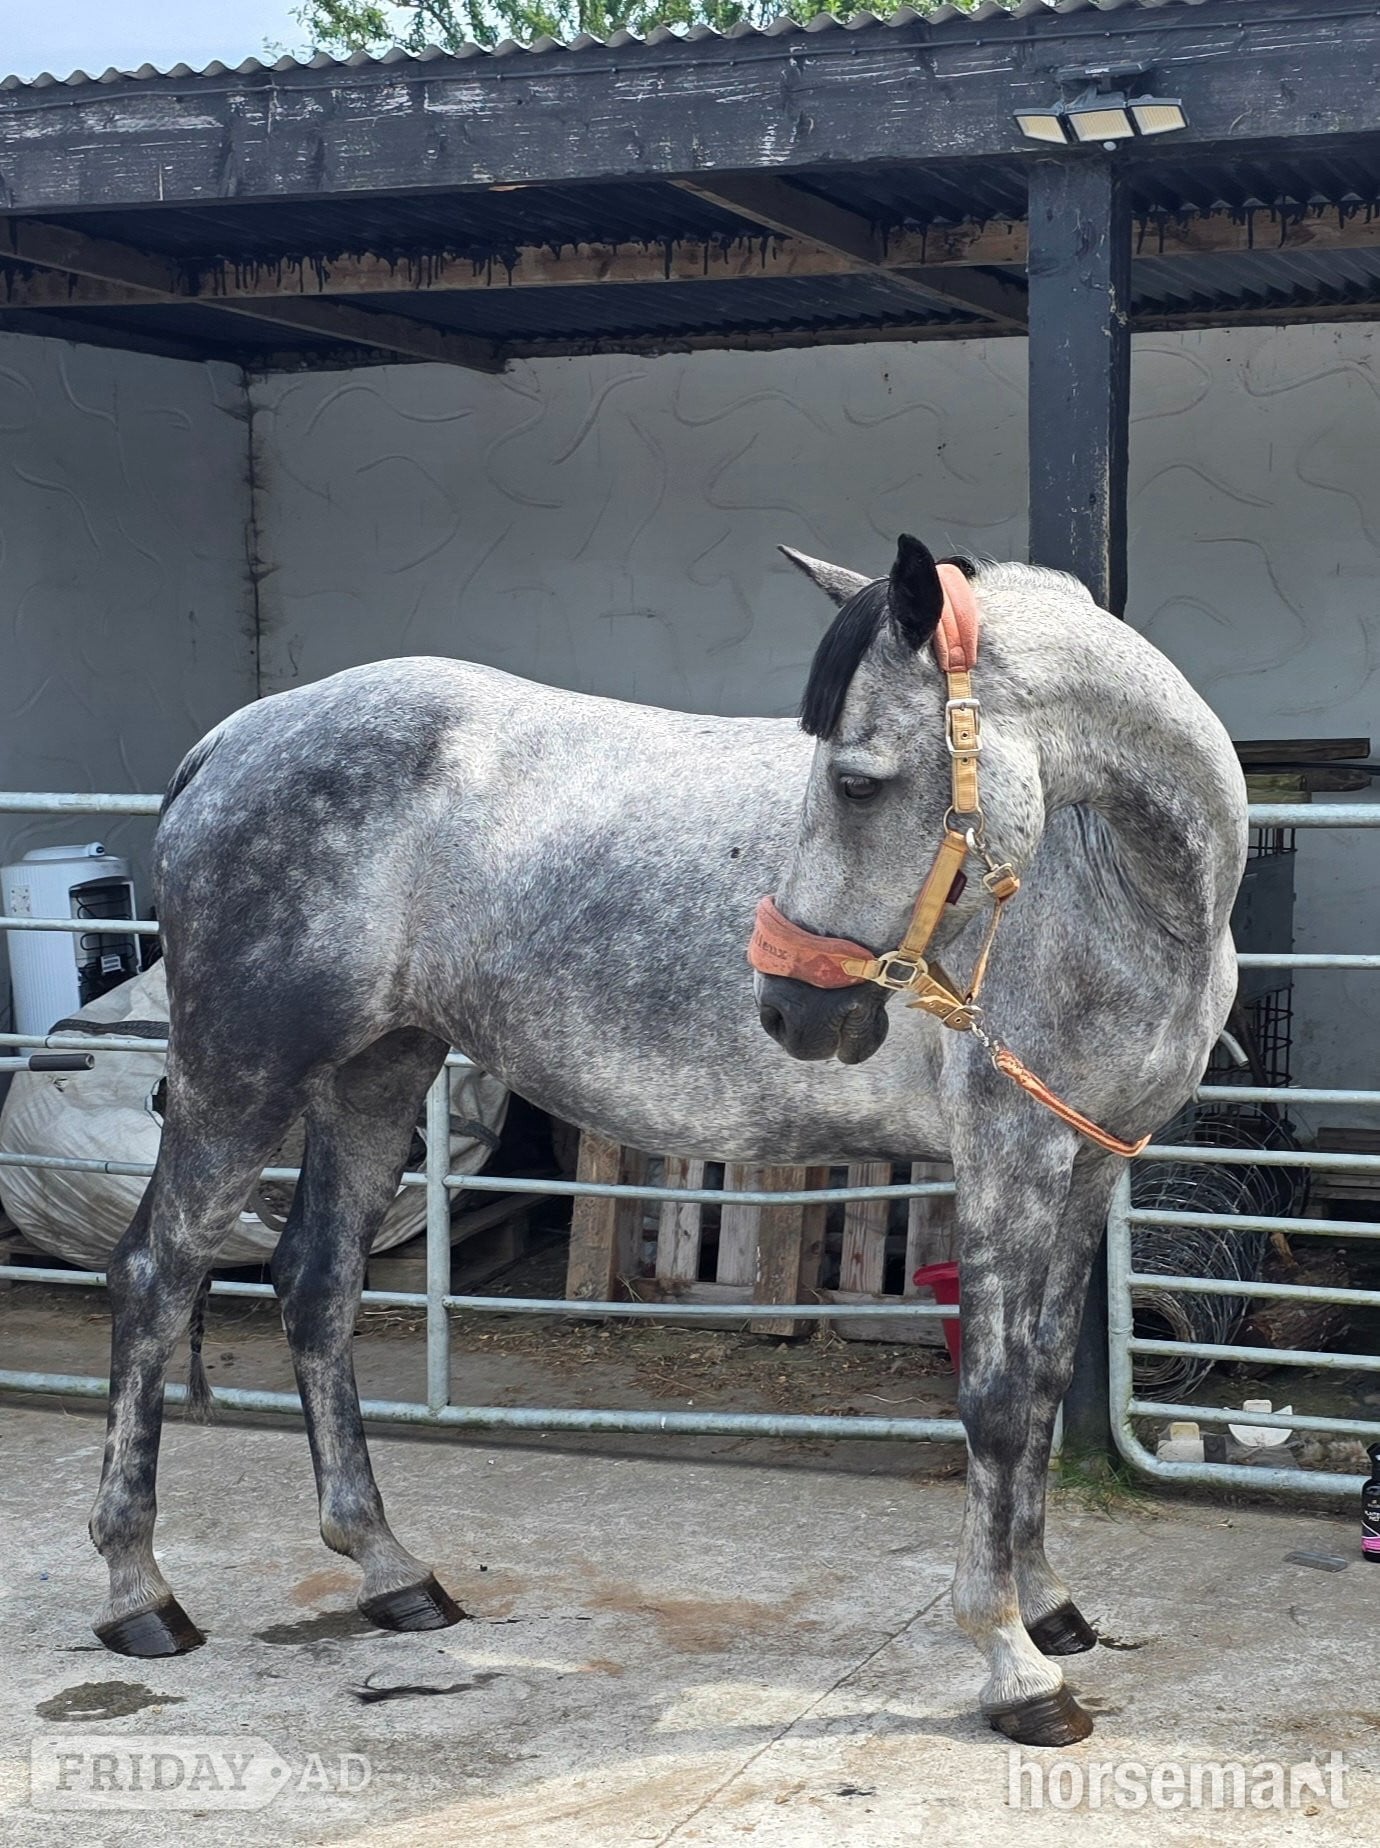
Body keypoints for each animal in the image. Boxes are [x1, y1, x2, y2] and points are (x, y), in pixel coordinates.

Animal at [86, 535, 1245, 1749]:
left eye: (854, 779)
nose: (790, 1008)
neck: (1118, 893)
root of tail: (233, 738)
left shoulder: (1088, 1164)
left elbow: (1050, 1378)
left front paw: (1052, 1607)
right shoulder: (1010, 1160)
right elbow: (999, 1398)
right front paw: (1014, 1663)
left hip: (377, 1073)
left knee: (317, 1288)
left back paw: (391, 1573)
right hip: (241, 1075)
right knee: (154, 1278)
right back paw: (138, 1594)